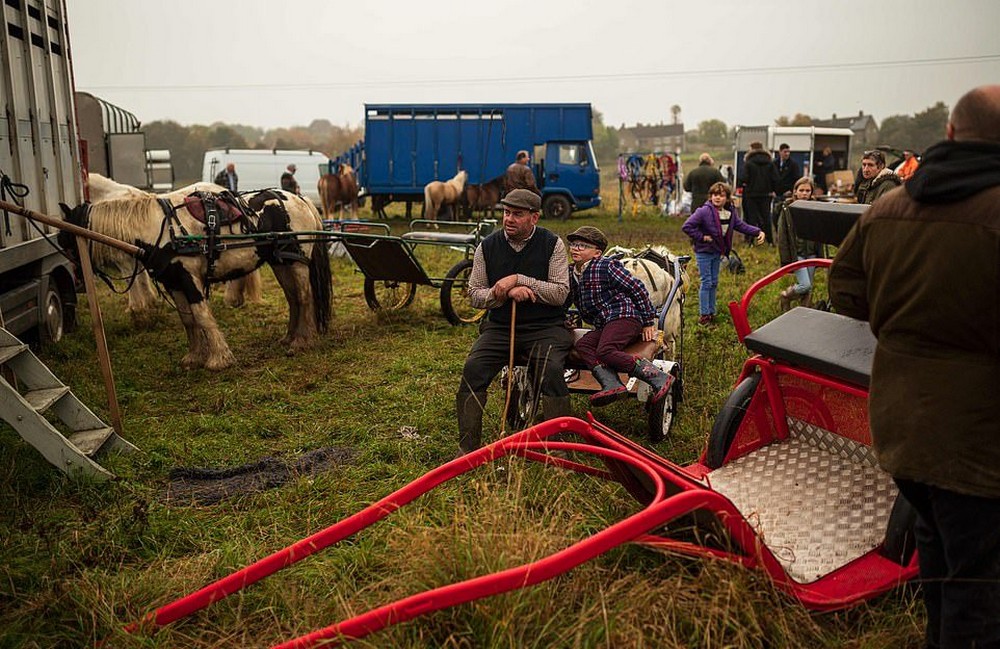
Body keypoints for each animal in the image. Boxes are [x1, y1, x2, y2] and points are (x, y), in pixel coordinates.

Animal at [58, 187, 332, 370]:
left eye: (67, 241)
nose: (76, 281)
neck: (159, 228)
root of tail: (300, 199)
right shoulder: (173, 282)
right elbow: (188, 320)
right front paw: (194, 357)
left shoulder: (190, 279)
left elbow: (202, 316)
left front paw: (219, 358)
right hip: (281, 262)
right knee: (293, 298)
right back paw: (290, 337)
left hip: (297, 262)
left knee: (305, 297)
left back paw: (302, 341)